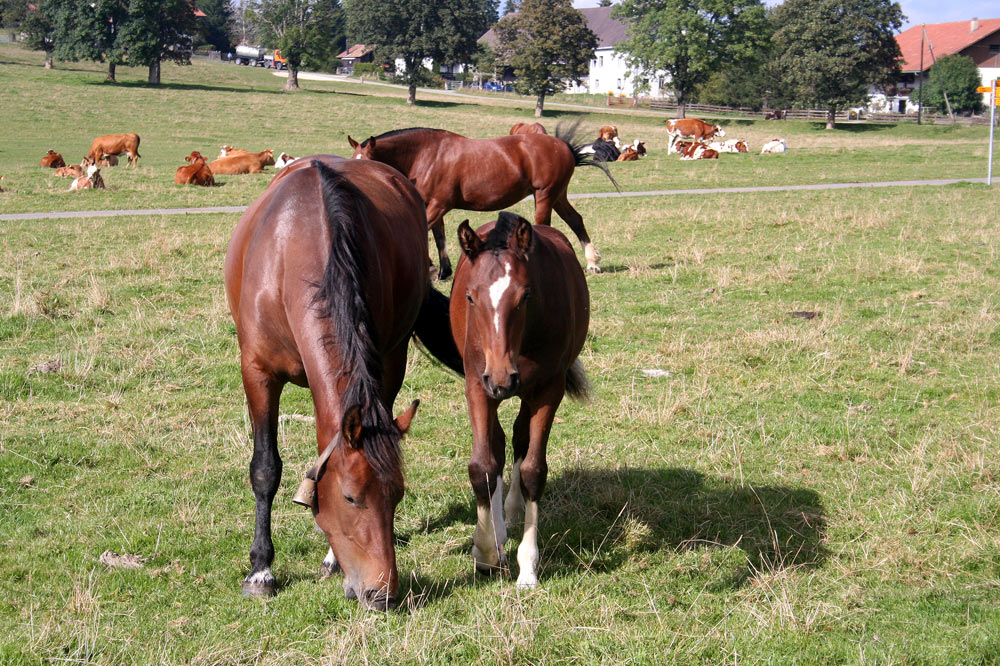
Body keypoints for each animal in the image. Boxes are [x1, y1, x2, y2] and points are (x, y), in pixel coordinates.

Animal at [225, 154, 462, 608]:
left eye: (398, 494)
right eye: (351, 497)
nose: (381, 593)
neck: (299, 249)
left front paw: (332, 559)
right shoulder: (257, 373)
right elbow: (264, 468)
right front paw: (261, 569)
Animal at [348, 124, 612, 278]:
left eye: (368, 160)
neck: (428, 154)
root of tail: (564, 147)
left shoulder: (438, 205)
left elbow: (425, 230)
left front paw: (431, 267)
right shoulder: (433, 205)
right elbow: (438, 235)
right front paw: (443, 270)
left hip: (545, 195)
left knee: (546, 225)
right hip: (558, 195)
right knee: (575, 220)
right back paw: (592, 262)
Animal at [450, 211, 588, 588]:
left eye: (525, 296)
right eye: (470, 297)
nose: (502, 379)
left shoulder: (548, 389)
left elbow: (532, 470)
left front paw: (527, 567)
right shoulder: (477, 385)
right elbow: (482, 466)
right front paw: (485, 553)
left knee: (519, 437)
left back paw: (511, 510)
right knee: (498, 444)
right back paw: (497, 529)